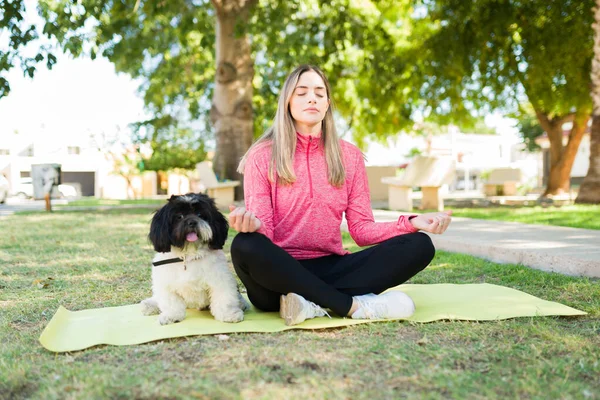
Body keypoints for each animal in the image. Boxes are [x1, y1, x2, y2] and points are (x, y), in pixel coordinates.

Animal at [141, 194, 248, 324]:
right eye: (179, 216)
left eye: (200, 215)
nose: (192, 222)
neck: (189, 256)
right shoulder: (166, 284)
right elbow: (171, 303)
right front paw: (172, 316)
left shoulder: (220, 279)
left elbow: (224, 298)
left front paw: (229, 314)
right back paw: (150, 304)